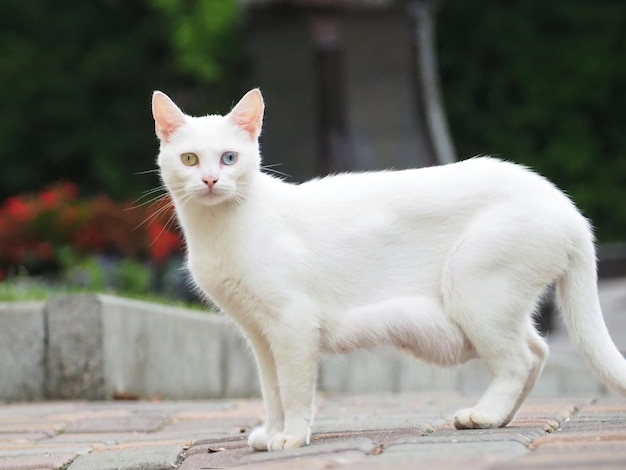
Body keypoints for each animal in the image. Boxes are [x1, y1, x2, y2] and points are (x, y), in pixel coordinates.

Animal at [152, 88, 624, 452]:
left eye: (229, 158)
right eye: (190, 159)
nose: (211, 180)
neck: (217, 232)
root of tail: (567, 207)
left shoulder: (291, 324)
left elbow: (295, 390)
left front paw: (292, 437)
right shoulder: (258, 334)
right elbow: (272, 392)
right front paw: (270, 432)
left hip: (473, 288)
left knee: (518, 360)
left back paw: (484, 416)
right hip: (496, 302)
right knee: (537, 351)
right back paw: (501, 417)